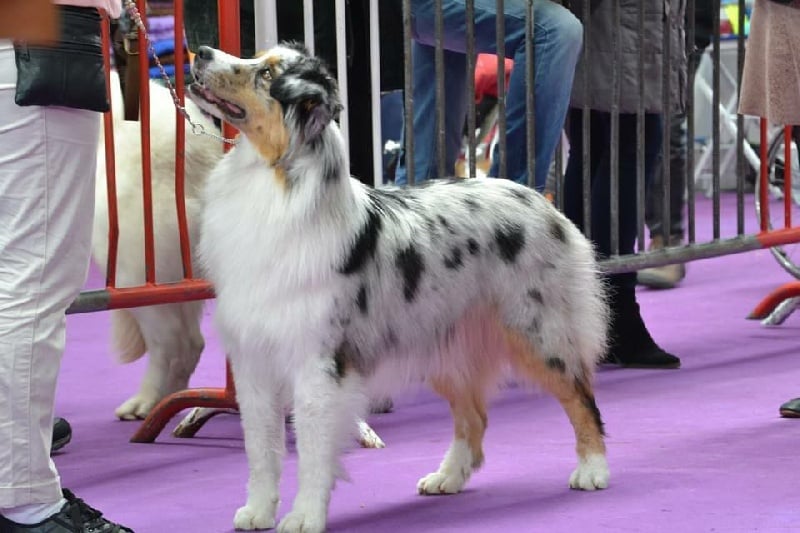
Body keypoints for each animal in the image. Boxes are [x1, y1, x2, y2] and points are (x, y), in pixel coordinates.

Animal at [191, 43, 610, 532]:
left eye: (266, 75)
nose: (201, 52)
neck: (273, 180)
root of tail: (536, 198)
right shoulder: (253, 361)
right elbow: (260, 448)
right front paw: (258, 512)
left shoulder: (318, 364)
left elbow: (313, 449)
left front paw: (304, 517)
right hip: (446, 343)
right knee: (474, 418)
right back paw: (447, 477)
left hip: (540, 331)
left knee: (581, 397)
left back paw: (593, 470)